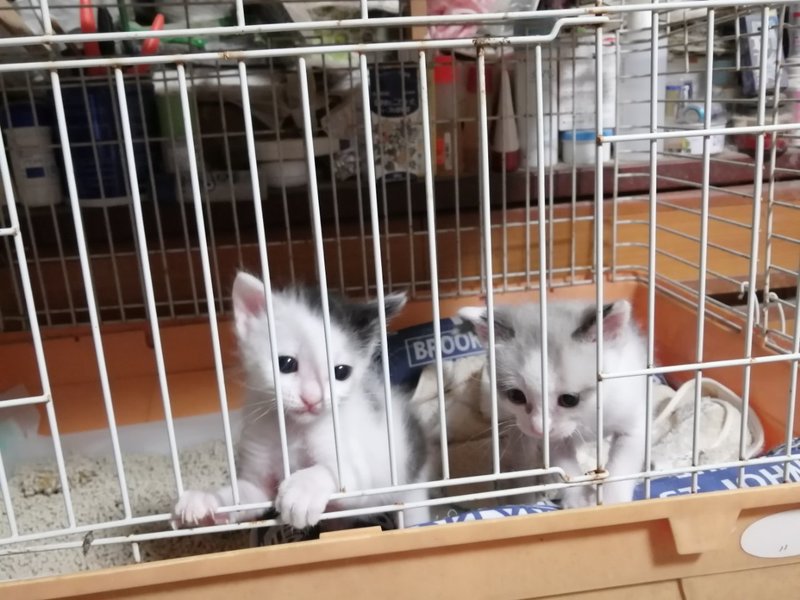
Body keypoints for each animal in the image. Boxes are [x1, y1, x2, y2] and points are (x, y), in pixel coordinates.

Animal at [172, 272, 431, 531]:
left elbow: (334, 472)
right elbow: (246, 495)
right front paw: (206, 500)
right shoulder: (258, 474)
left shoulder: (359, 471)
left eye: (341, 372)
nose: (312, 399)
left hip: (410, 480)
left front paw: (302, 491)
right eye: (286, 364)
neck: (294, 430)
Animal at [459, 299, 647, 508]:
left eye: (569, 399)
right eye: (516, 396)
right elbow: (565, 467)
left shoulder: (632, 419)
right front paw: (580, 500)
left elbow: (623, 464)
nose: (539, 429)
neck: (589, 416)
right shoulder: (552, 439)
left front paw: (613, 502)